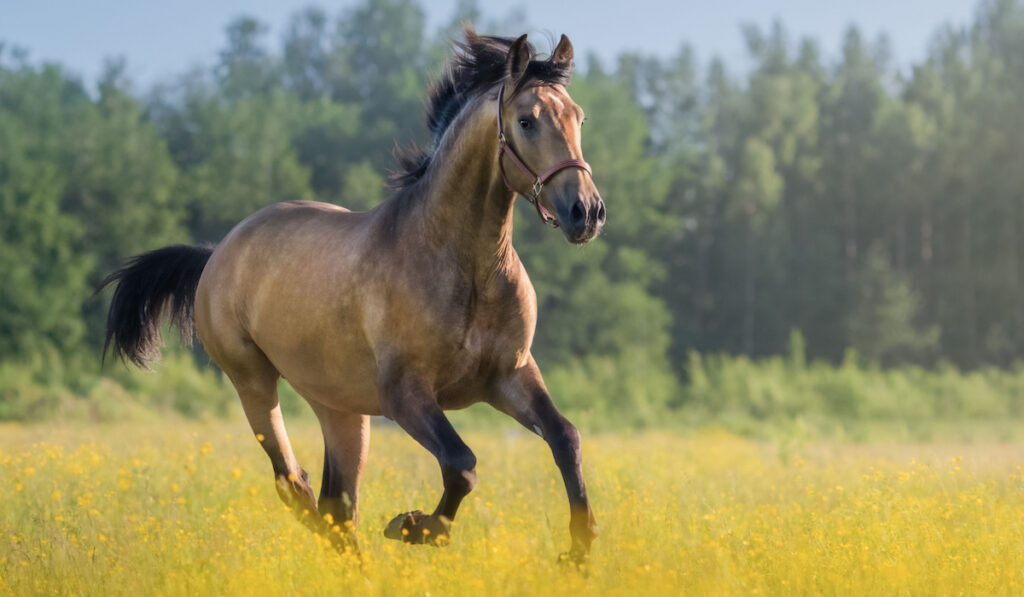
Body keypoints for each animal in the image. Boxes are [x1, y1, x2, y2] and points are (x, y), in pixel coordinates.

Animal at [99, 30, 602, 561]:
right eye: (526, 121)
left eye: (578, 117)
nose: (586, 212)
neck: (466, 267)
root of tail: (218, 253)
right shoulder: (405, 394)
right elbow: (461, 463)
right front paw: (415, 526)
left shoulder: (511, 376)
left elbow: (566, 438)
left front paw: (579, 550)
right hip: (253, 381)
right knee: (295, 485)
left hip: (340, 408)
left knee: (337, 505)